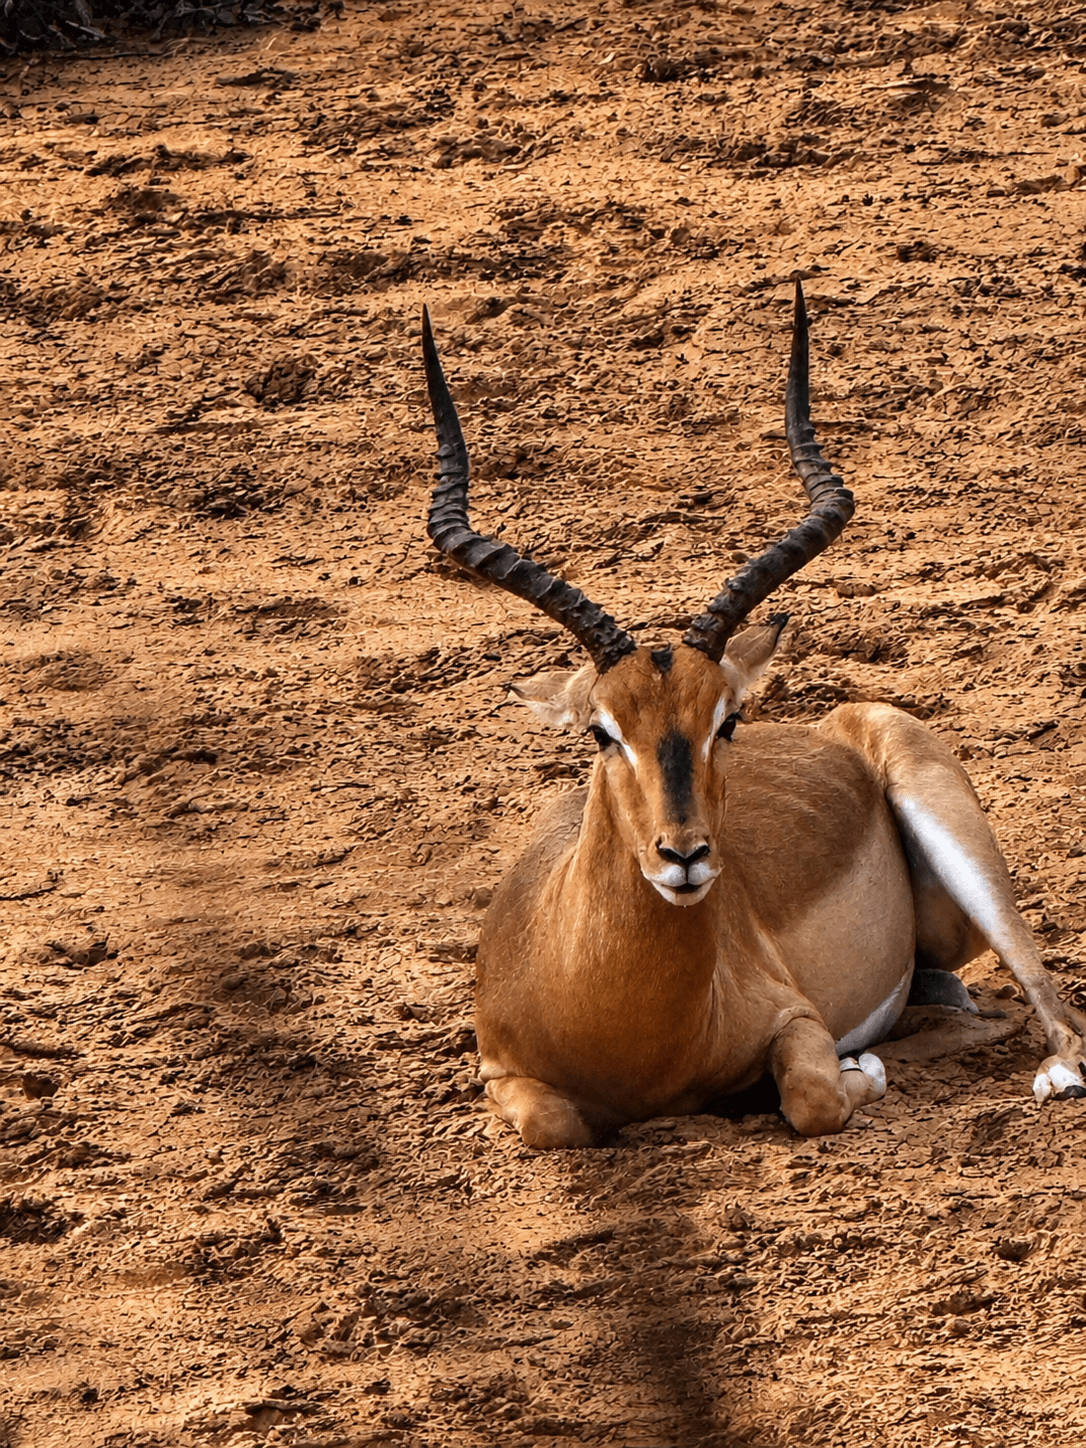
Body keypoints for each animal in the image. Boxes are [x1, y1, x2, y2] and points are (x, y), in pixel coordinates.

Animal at [421, 283, 1086, 1147]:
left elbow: (813, 1099)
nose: (684, 856)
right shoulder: (503, 1074)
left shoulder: (796, 1020)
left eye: (726, 720)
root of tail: (838, 729)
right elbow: (558, 1125)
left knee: (1039, 1007)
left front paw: (854, 1074)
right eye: (603, 731)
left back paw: (1047, 1071)